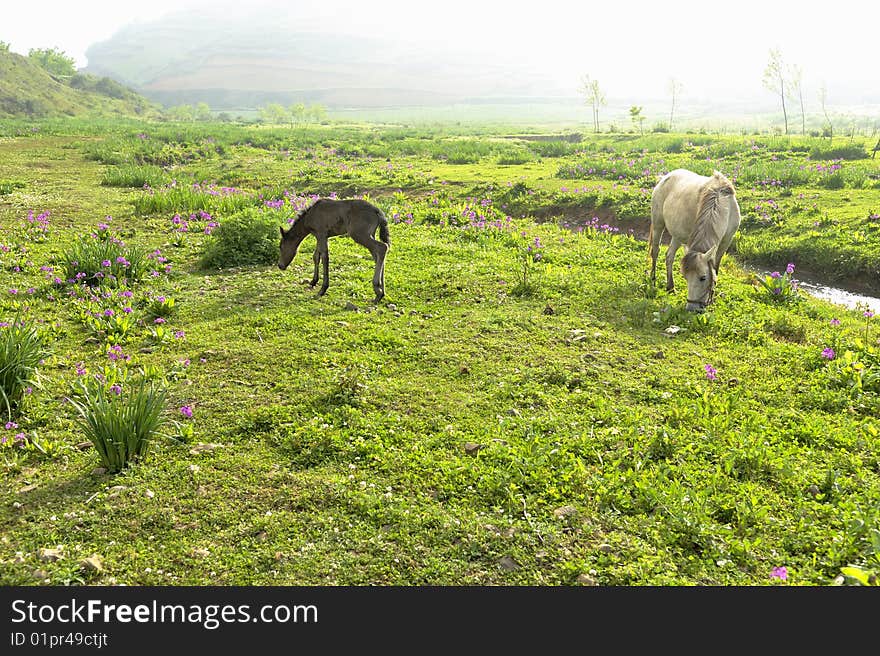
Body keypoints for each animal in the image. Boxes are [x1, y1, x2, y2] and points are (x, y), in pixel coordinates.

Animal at [648, 169, 740, 312]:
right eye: (685, 277)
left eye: (703, 278)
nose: (691, 308)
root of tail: (664, 178)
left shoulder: (726, 242)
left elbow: (715, 268)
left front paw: (712, 297)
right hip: (658, 225)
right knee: (655, 251)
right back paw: (653, 278)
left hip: (677, 235)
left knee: (669, 255)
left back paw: (670, 287)